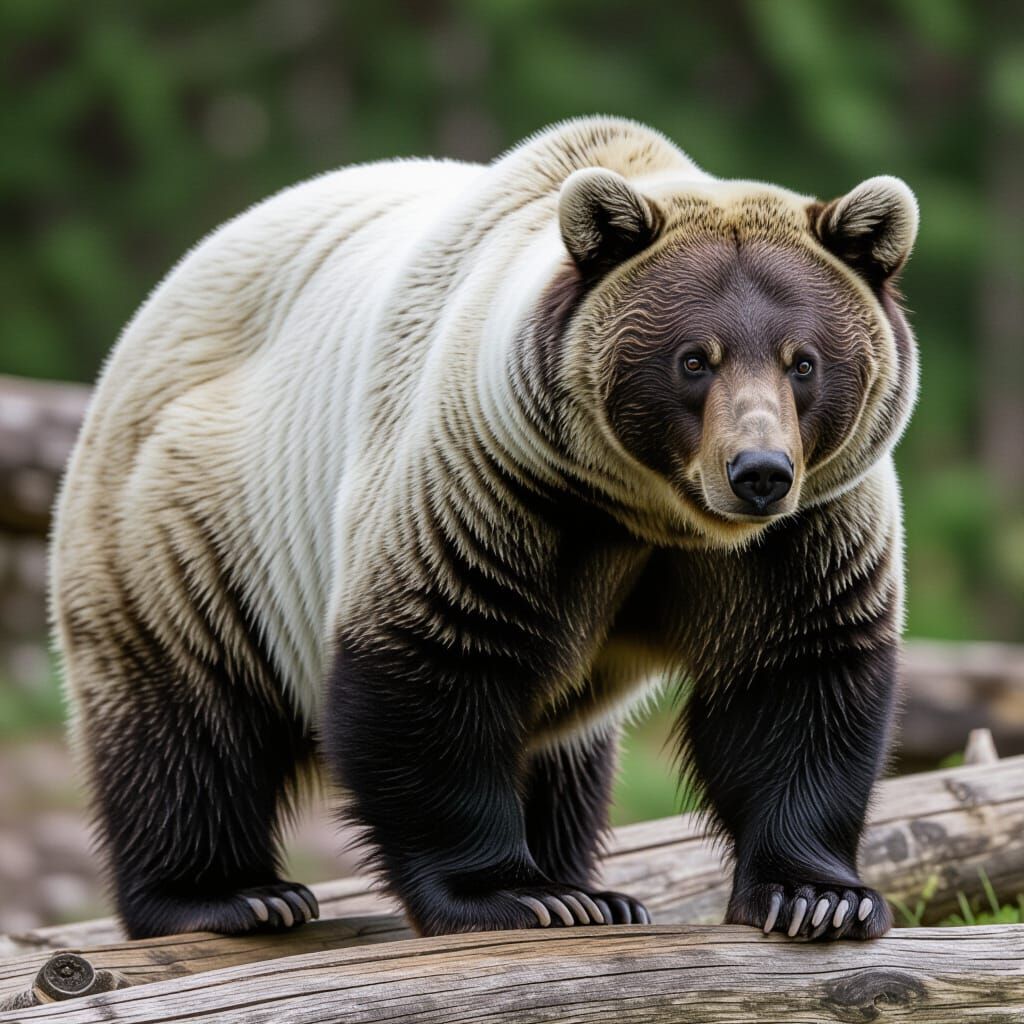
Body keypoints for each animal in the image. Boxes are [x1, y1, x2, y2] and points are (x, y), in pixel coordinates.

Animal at [51, 116, 918, 941]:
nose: (758, 471)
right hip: (187, 516)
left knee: (567, 756)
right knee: (185, 717)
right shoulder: (497, 485)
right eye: (694, 359)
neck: (656, 515)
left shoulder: (806, 531)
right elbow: (438, 663)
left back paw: (588, 881)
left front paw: (817, 897)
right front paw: (513, 894)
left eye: (802, 361)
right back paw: (230, 895)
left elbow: (800, 676)